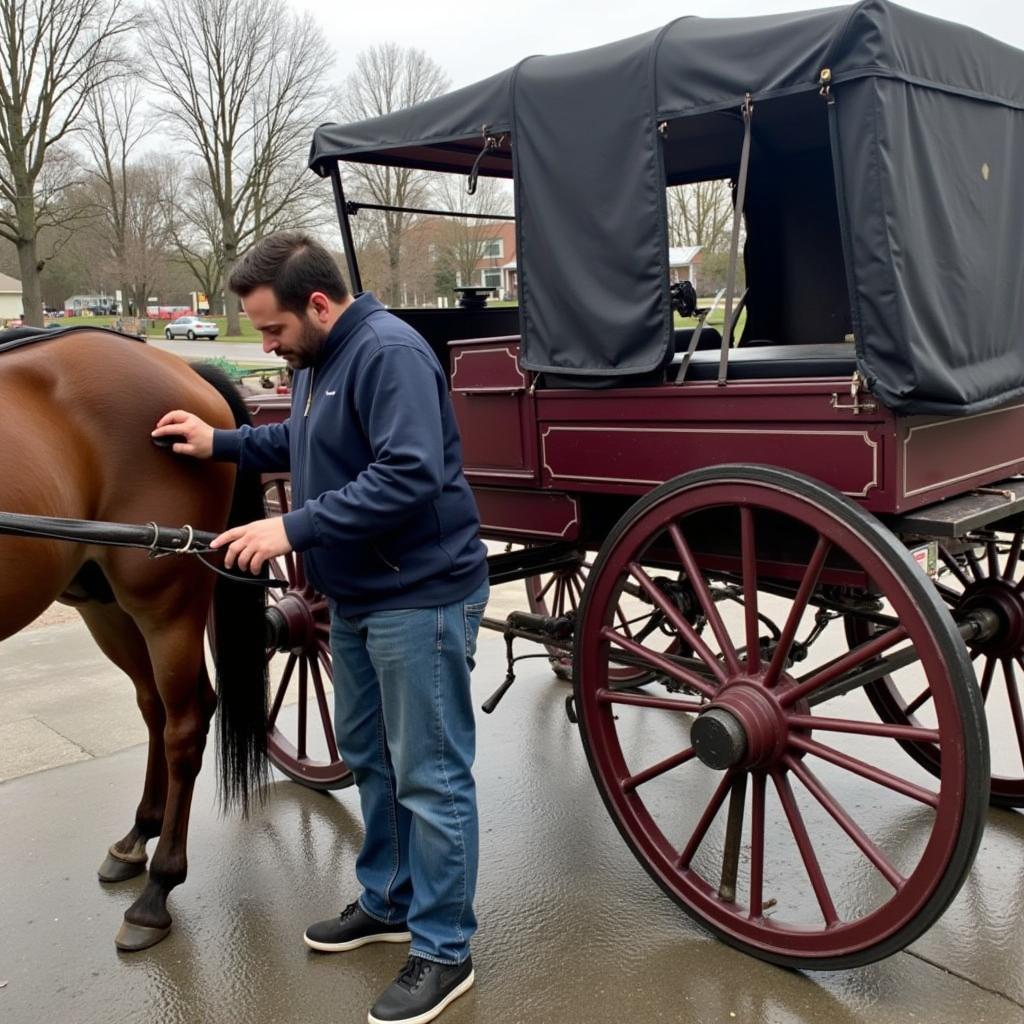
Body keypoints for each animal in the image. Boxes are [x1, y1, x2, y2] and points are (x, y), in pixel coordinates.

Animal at [0, 329, 268, 950]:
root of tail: (183, 368)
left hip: (164, 601)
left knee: (185, 723)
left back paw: (157, 891)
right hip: (105, 604)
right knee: (156, 709)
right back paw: (136, 838)